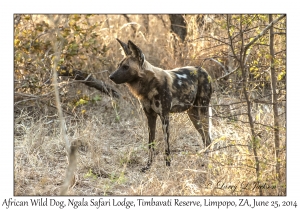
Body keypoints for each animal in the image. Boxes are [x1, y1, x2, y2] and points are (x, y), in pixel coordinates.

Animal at [109, 39, 212, 172]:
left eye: (126, 67)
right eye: (118, 65)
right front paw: (148, 166)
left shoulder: (164, 116)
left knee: (208, 138)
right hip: (193, 115)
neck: (148, 85)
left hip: (203, 110)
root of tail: (203, 70)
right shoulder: (150, 117)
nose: (110, 77)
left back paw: (209, 161)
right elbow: (150, 144)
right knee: (205, 138)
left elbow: (166, 146)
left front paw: (168, 166)